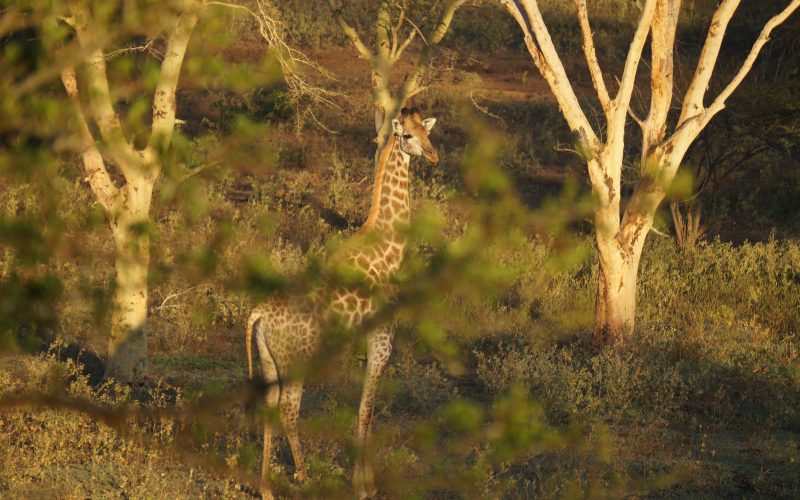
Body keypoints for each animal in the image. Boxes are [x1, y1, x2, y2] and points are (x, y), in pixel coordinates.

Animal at [247, 107, 440, 498]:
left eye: (427, 133)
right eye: (407, 136)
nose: (433, 155)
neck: (389, 248)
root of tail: (258, 314)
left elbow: (364, 409)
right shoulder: (382, 339)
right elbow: (367, 410)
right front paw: (364, 487)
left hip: (269, 358)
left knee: (272, 406)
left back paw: (267, 489)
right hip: (296, 358)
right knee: (289, 409)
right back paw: (304, 478)